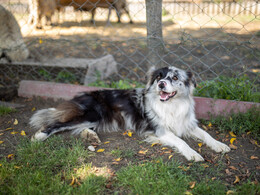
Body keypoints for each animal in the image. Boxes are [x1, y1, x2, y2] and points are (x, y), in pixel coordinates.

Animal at [29, 66, 231, 161]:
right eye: (159, 77)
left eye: (175, 77)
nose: (161, 84)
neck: (171, 105)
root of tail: (82, 95)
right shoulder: (161, 131)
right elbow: (180, 141)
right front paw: (193, 154)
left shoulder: (187, 123)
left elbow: (206, 134)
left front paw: (220, 145)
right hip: (93, 114)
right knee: (57, 124)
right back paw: (39, 136)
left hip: (96, 118)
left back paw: (91, 136)